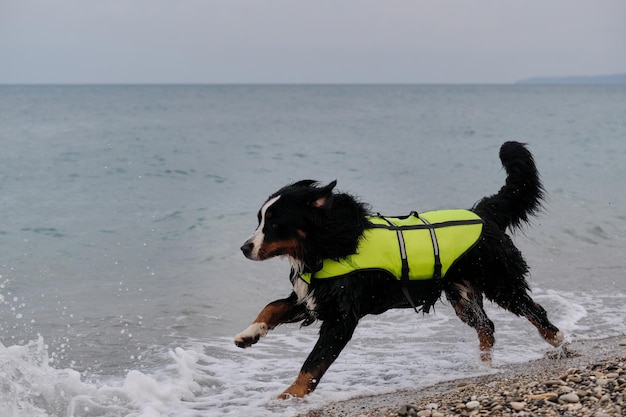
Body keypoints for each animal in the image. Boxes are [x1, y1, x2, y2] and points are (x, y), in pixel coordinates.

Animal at [233, 141, 560, 398]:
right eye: (260, 219)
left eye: (275, 224)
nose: (245, 248)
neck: (329, 245)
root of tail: (482, 213)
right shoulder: (313, 297)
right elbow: (272, 307)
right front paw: (248, 334)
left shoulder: (340, 317)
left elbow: (313, 364)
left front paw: (289, 396)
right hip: (463, 296)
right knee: (487, 327)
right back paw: (482, 366)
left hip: (500, 282)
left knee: (534, 311)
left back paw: (557, 341)